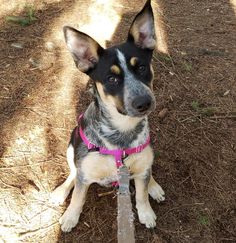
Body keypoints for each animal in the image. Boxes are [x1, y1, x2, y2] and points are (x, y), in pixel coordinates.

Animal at [49, 0, 165, 232]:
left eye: (141, 67)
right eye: (111, 79)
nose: (144, 102)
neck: (122, 133)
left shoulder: (139, 167)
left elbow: (141, 194)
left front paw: (146, 212)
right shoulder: (84, 172)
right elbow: (78, 196)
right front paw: (70, 216)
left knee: (147, 170)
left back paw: (154, 186)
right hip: (71, 145)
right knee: (72, 173)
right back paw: (61, 192)